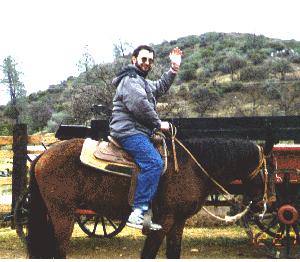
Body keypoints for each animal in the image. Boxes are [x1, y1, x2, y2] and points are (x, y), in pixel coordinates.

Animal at [25, 137, 270, 258]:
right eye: (267, 169)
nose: (261, 206)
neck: (192, 168)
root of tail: (42, 155)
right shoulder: (163, 222)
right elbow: (149, 254)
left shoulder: (178, 223)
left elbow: (173, 253)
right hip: (63, 215)